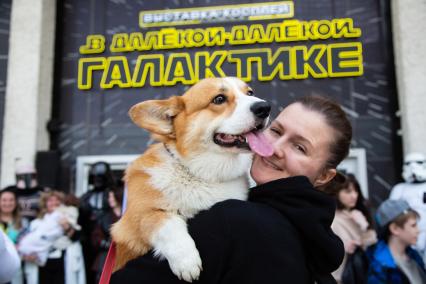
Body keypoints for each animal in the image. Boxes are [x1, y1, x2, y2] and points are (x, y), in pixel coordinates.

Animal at [111, 76, 272, 280]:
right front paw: (186, 261)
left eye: (250, 93)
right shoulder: (135, 219)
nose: (265, 107)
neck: (202, 175)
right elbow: (168, 222)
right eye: (219, 99)